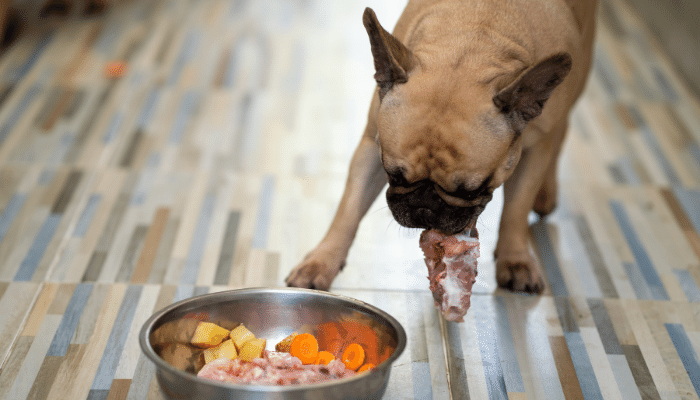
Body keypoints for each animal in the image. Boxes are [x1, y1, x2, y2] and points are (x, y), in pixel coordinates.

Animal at [288, 0, 600, 294]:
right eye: (393, 175)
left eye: (471, 191)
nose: (425, 206)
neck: (475, 44)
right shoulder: (370, 146)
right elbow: (349, 209)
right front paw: (321, 262)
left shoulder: (533, 154)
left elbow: (516, 210)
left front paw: (515, 259)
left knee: (561, 132)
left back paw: (546, 192)